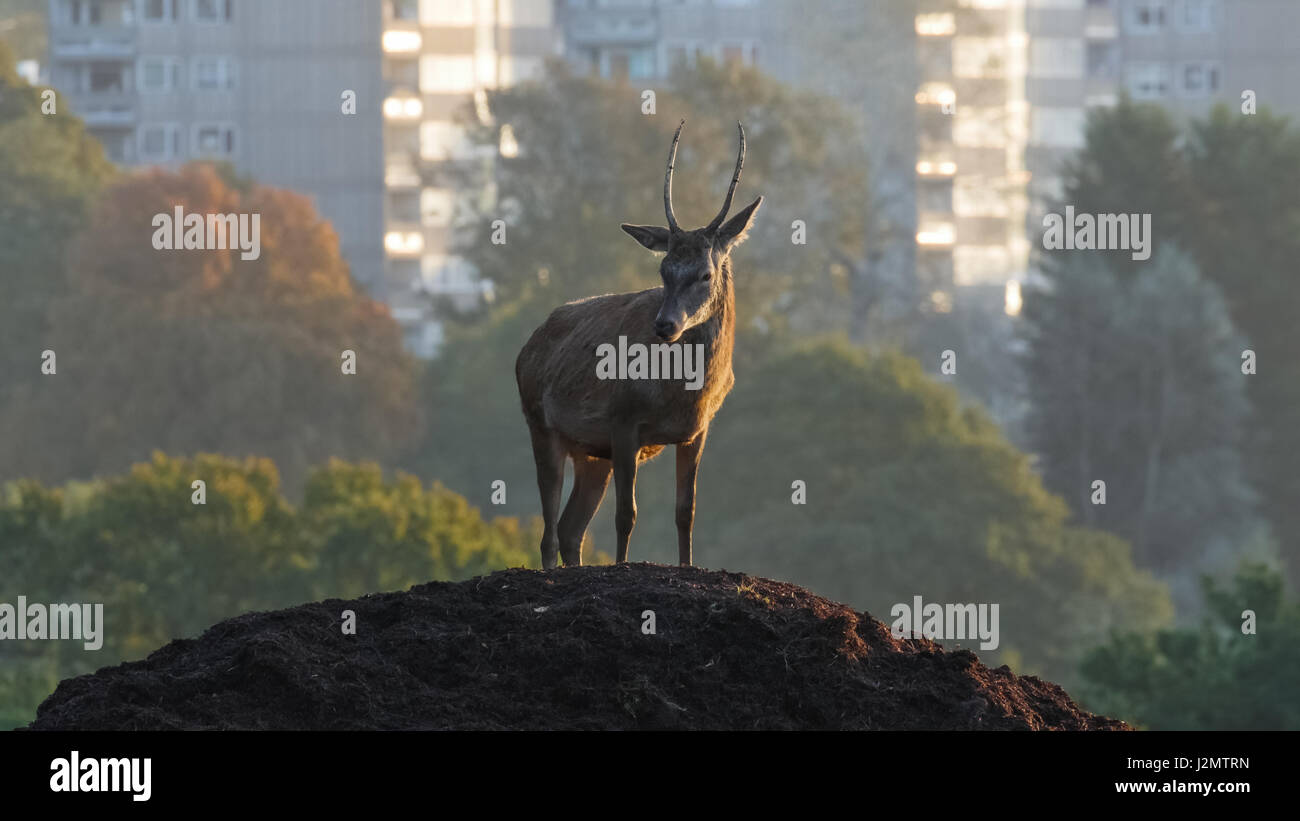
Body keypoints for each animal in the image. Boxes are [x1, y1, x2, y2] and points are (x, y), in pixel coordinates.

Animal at [514, 120, 759, 571]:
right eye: (664, 269)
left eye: (704, 273)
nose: (664, 325)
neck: (684, 394)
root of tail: (525, 349)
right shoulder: (623, 420)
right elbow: (626, 514)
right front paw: (622, 564)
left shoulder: (698, 431)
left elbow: (686, 510)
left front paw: (687, 564)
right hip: (539, 423)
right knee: (550, 531)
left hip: (592, 454)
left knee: (571, 528)